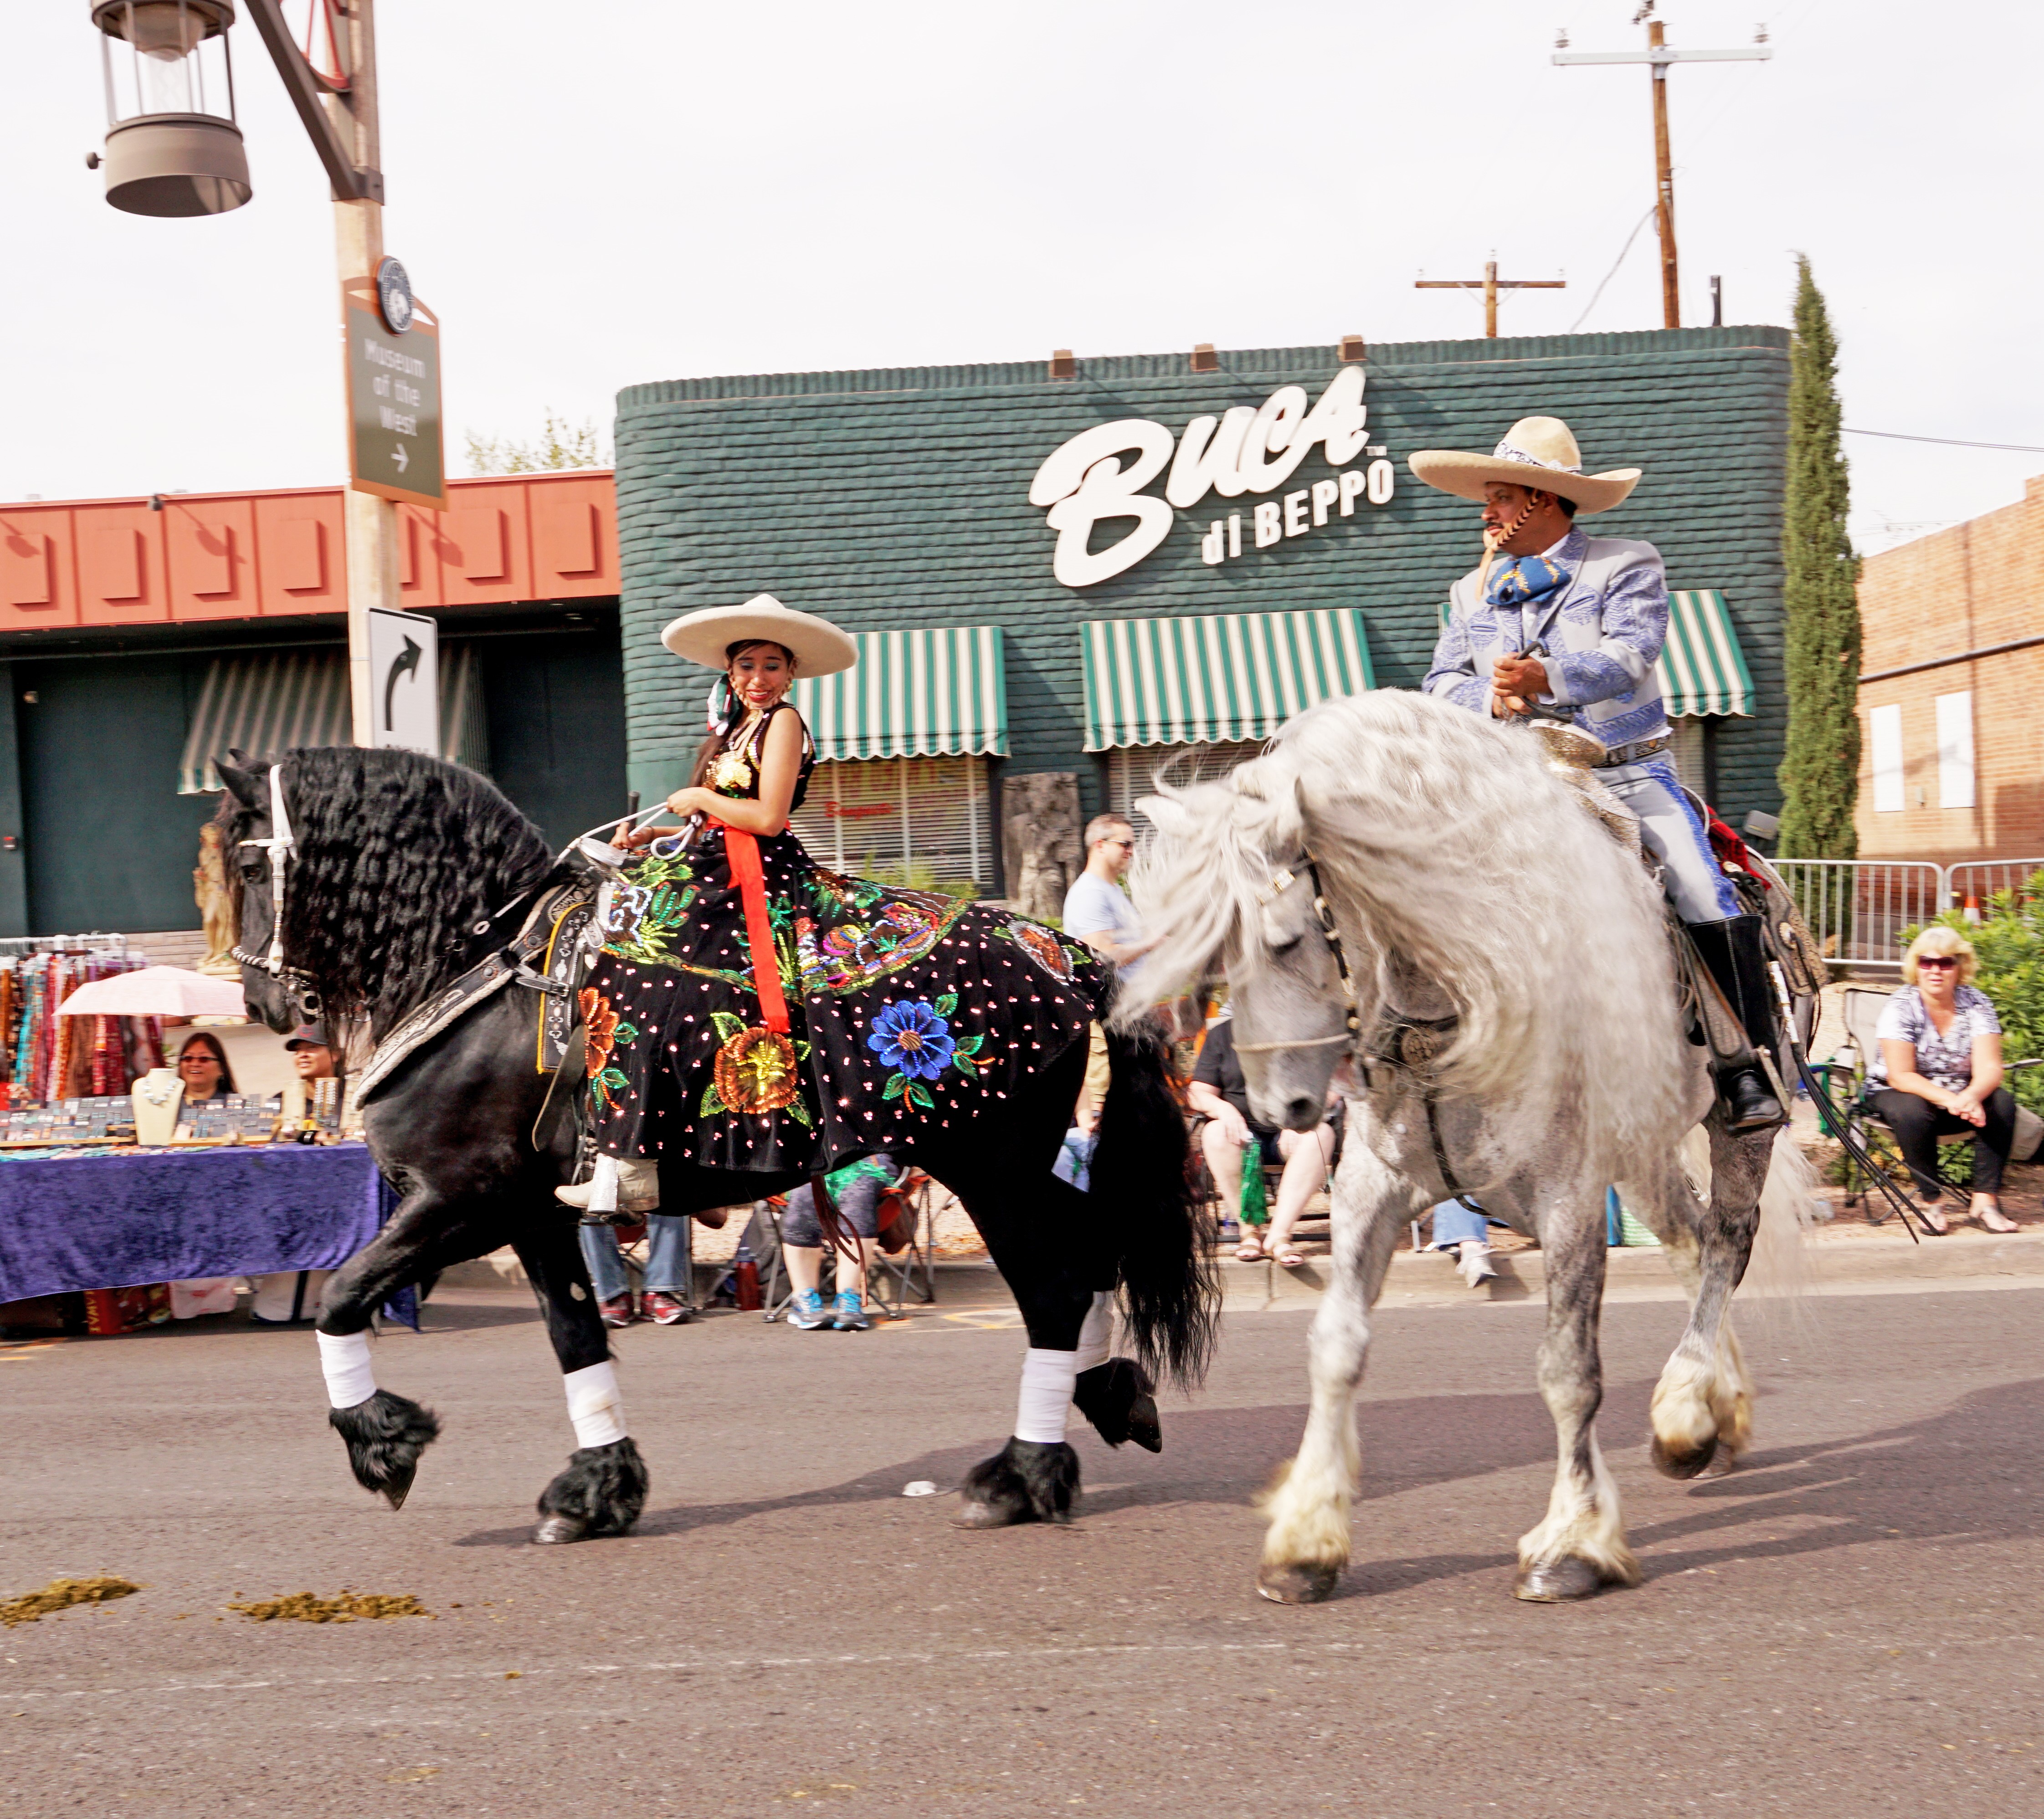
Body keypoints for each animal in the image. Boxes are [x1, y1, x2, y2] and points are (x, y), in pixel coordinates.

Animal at [217, 744, 1218, 1537]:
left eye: (247, 863)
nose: (263, 1004)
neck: (477, 975)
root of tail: (1069, 956)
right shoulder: (532, 1214)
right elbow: (575, 1334)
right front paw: (596, 1489)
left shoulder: (461, 1199)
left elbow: (340, 1297)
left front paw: (384, 1445)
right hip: (1017, 1167)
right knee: (1092, 1259)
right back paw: (1105, 1397)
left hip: (992, 1169)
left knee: (1057, 1288)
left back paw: (1021, 1474)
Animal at [1128, 691, 1815, 1602]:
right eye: (1216, 955)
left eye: (1283, 940)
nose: (1280, 1107)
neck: (1463, 979)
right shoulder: (1372, 1186)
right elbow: (1337, 1347)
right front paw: (1305, 1542)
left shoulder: (1566, 1194)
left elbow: (1568, 1369)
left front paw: (1571, 1542)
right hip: (1639, 1148)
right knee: (1690, 1241)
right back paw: (1702, 1414)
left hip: (1737, 1128)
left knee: (1728, 1243)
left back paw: (1686, 1409)